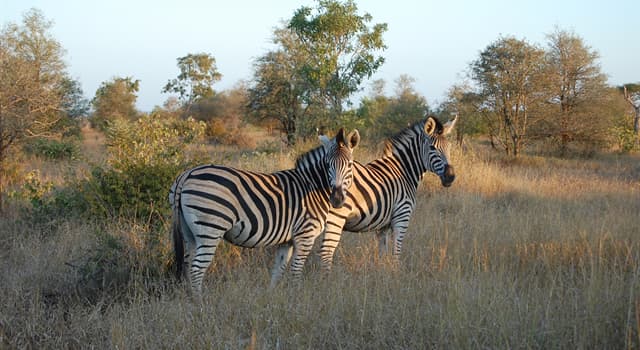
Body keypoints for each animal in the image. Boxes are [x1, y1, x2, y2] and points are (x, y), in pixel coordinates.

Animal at [170, 127, 360, 294]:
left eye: (350, 165)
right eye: (327, 164)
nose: (337, 200)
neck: (312, 186)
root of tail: (186, 174)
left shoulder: (287, 240)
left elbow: (278, 270)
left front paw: (272, 297)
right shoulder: (305, 235)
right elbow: (296, 272)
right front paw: (296, 298)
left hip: (189, 232)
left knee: (187, 266)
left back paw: (189, 300)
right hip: (210, 228)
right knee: (196, 270)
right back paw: (200, 304)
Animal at [318, 115, 458, 270]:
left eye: (449, 147)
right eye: (432, 148)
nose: (450, 176)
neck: (403, 171)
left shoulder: (383, 225)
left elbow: (382, 254)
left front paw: (382, 272)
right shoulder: (402, 217)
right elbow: (396, 253)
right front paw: (395, 273)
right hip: (336, 217)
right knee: (326, 252)